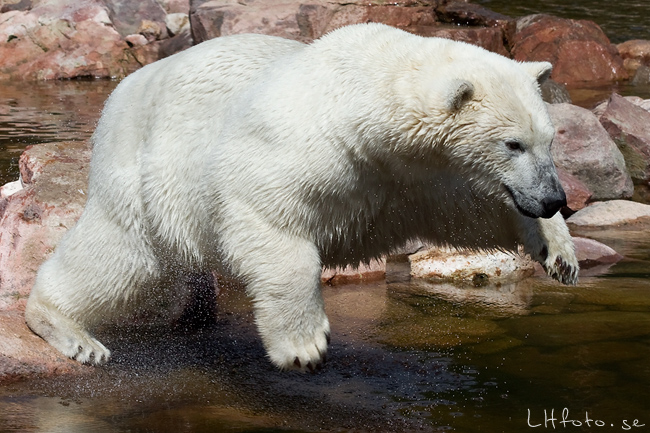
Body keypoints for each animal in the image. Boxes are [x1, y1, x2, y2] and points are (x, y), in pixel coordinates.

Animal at [25, 22, 576, 370]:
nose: (554, 198)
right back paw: (70, 332)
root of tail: (122, 90)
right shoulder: (304, 148)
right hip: (143, 175)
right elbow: (266, 217)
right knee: (119, 258)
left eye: (549, 140)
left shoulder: (417, 178)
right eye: (513, 143)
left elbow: (471, 214)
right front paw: (303, 346)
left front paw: (557, 251)